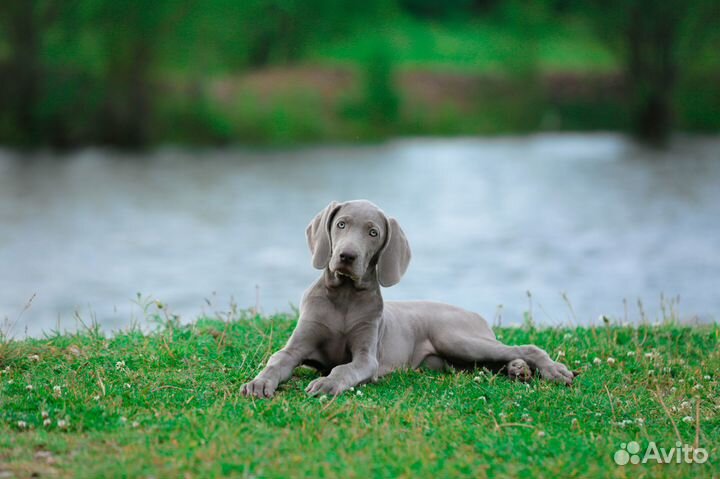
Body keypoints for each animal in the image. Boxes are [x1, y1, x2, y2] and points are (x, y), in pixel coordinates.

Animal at [242, 201, 572, 400]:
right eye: (341, 225)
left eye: (373, 232)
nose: (347, 256)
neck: (344, 297)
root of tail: (473, 314)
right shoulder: (296, 345)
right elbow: (277, 360)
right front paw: (259, 382)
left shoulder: (367, 357)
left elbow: (344, 368)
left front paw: (327, 383)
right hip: (457, 358)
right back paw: (517, 369)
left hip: (456, 338)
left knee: (523, 347)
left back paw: (551, 370)